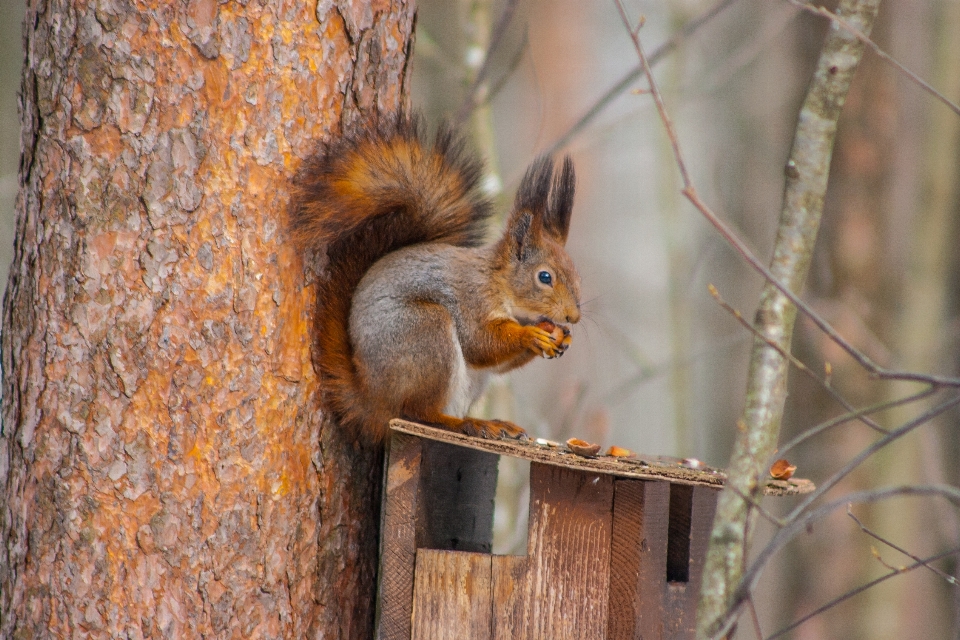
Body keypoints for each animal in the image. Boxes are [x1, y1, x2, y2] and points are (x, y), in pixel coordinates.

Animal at [288, 114, 580, 444]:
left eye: (575, 272)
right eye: (544, 277)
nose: (574, 316)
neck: (500, 285)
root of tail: (373, 401)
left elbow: (498, 361)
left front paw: (562, 336)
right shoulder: (471, 299)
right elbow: (481, 343)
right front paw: (530, 335)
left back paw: (490, 423)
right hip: (426, 335)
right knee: (417, 412)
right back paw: (466, 424)